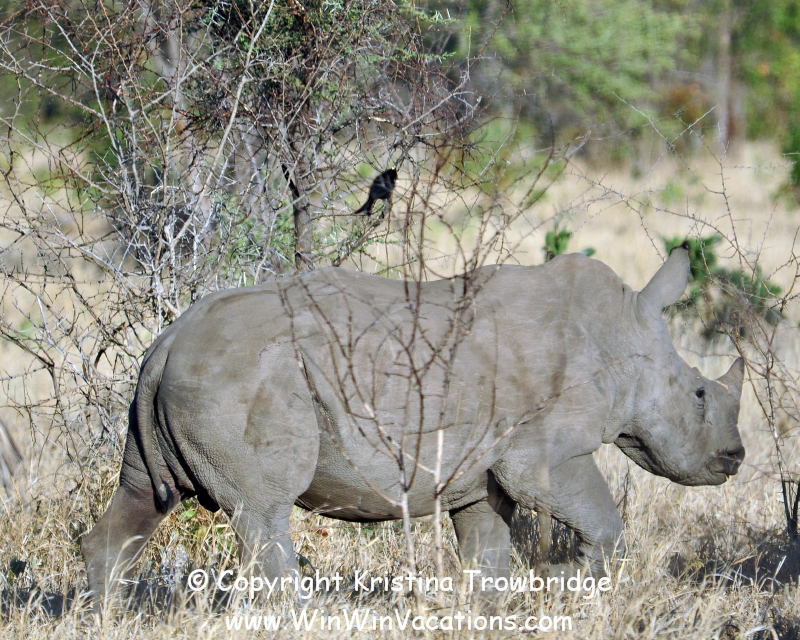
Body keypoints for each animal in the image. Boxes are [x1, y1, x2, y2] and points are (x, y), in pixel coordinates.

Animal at [81, 246, 744, 602]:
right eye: (699, 393)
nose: (734, 458)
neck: (623, 337)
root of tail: (168, 341)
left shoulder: (482, 470)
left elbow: (487, 553)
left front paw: (492, 607)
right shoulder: (541, 455)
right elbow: (604, 523)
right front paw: (558, 577)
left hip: (183, 376)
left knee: (143, 497)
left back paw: (107, 613)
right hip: (240, 376)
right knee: (262, 511)